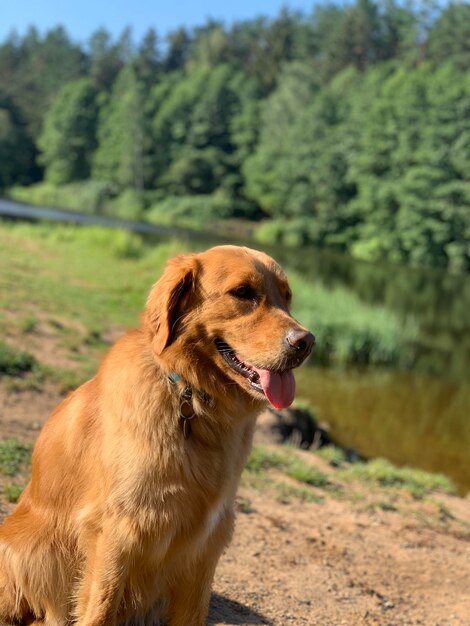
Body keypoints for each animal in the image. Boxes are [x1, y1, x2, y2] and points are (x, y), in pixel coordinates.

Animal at [0, 244, 316, 624]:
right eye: (243, 292)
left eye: (287, 297)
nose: (307, 342)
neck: (190, 398)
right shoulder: (119, 529)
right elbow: (100, 608)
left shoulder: (208, 538)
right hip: (23, 554)